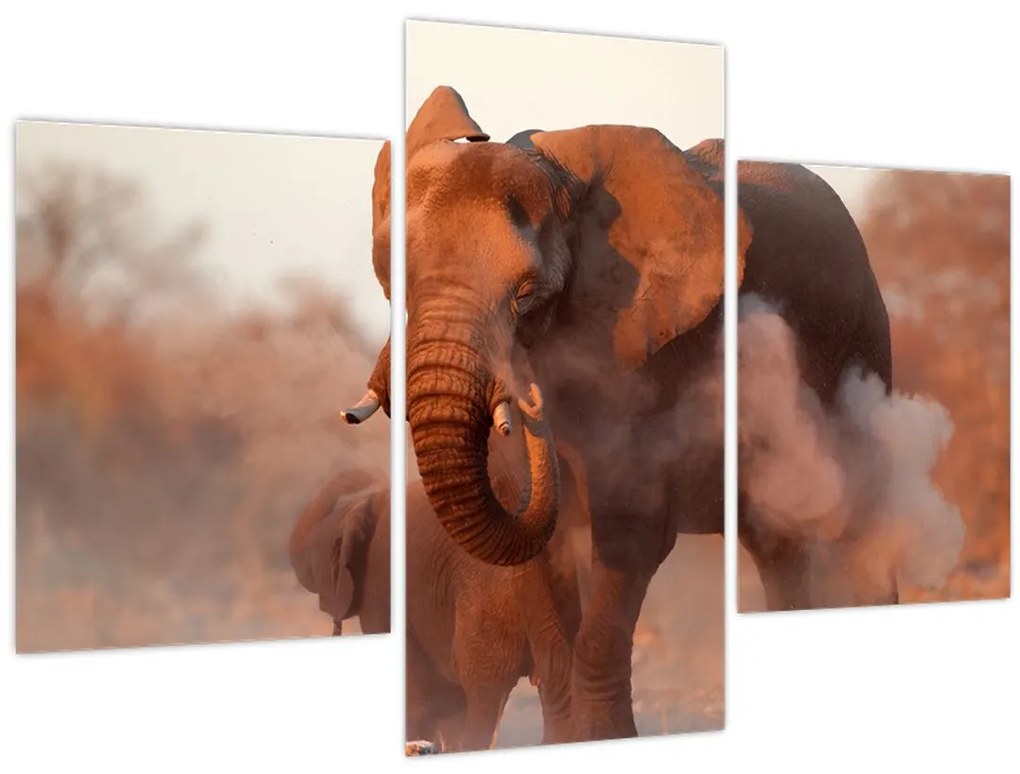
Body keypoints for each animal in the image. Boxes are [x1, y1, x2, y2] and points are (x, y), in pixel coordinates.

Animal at [341, 86, 892, 740]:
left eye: (526, 295)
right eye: (394, 282)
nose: (530, 400)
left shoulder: (654, 351)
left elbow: (629, 534)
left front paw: (603, 737)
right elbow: (537, 550)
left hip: (863, 346)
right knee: (776, 541)